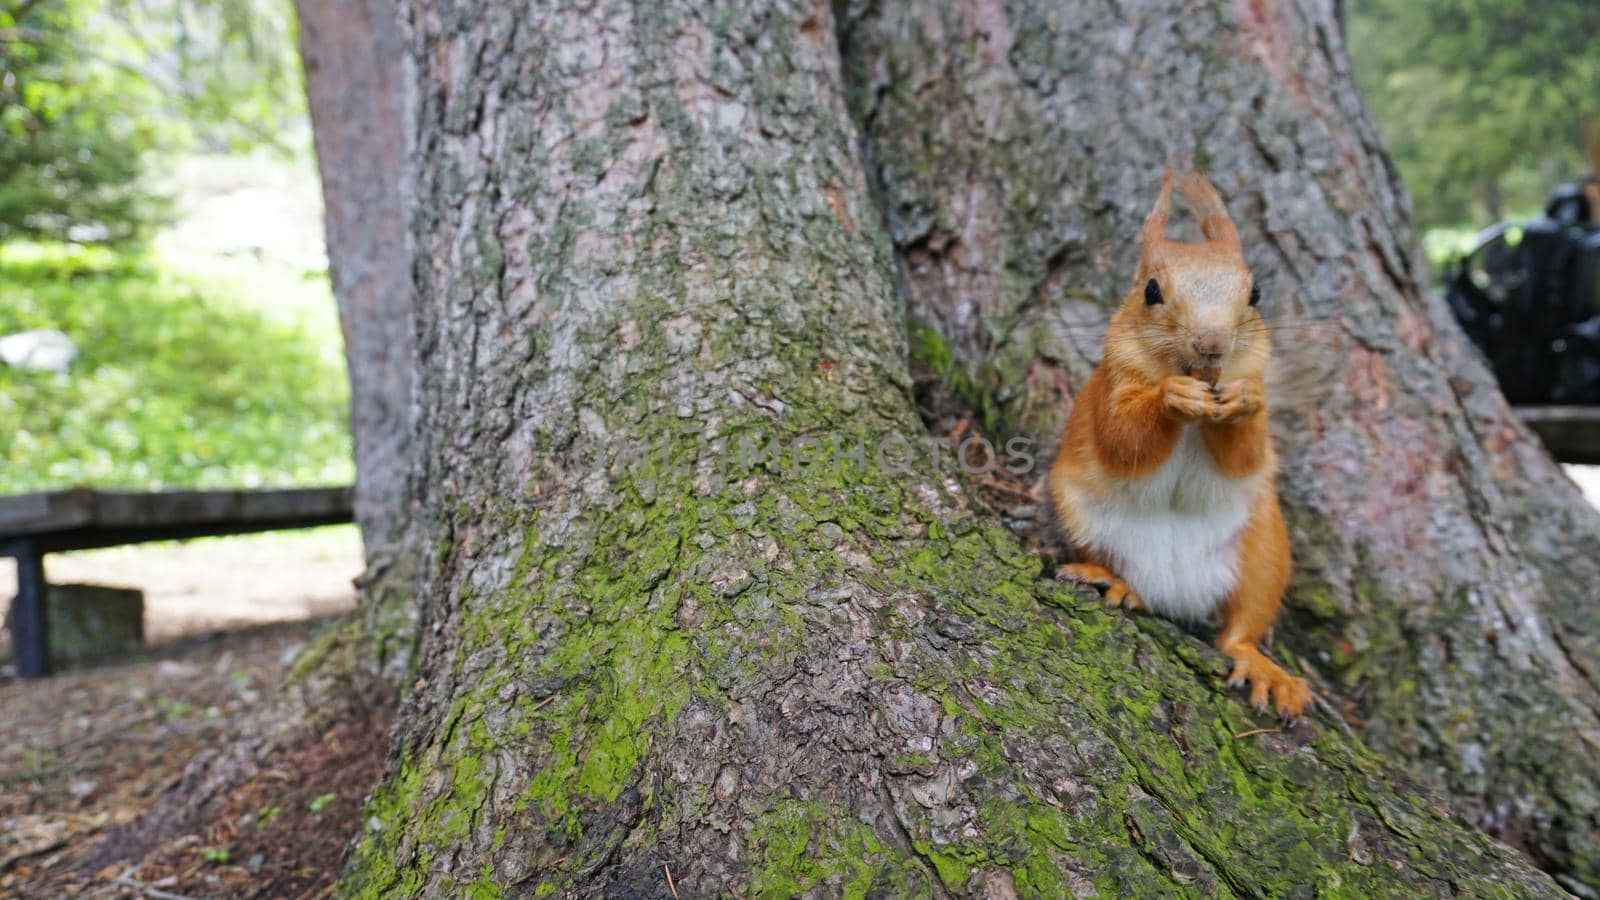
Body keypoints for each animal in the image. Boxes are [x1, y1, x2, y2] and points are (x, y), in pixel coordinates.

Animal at [1049, 168, 1312, 714]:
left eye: (1256, 294)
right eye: (1151, 290)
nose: (1212, 345)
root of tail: (1180, 591)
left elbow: (1245, 454)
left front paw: (1244, 399)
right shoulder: (1112, 387)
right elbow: (1123, 438)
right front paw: (1171, 397)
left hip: (1263, 555)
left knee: (1239, 631)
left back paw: (1264, 669)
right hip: (1088, 523)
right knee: (1139, 584)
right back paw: (1113, 581)